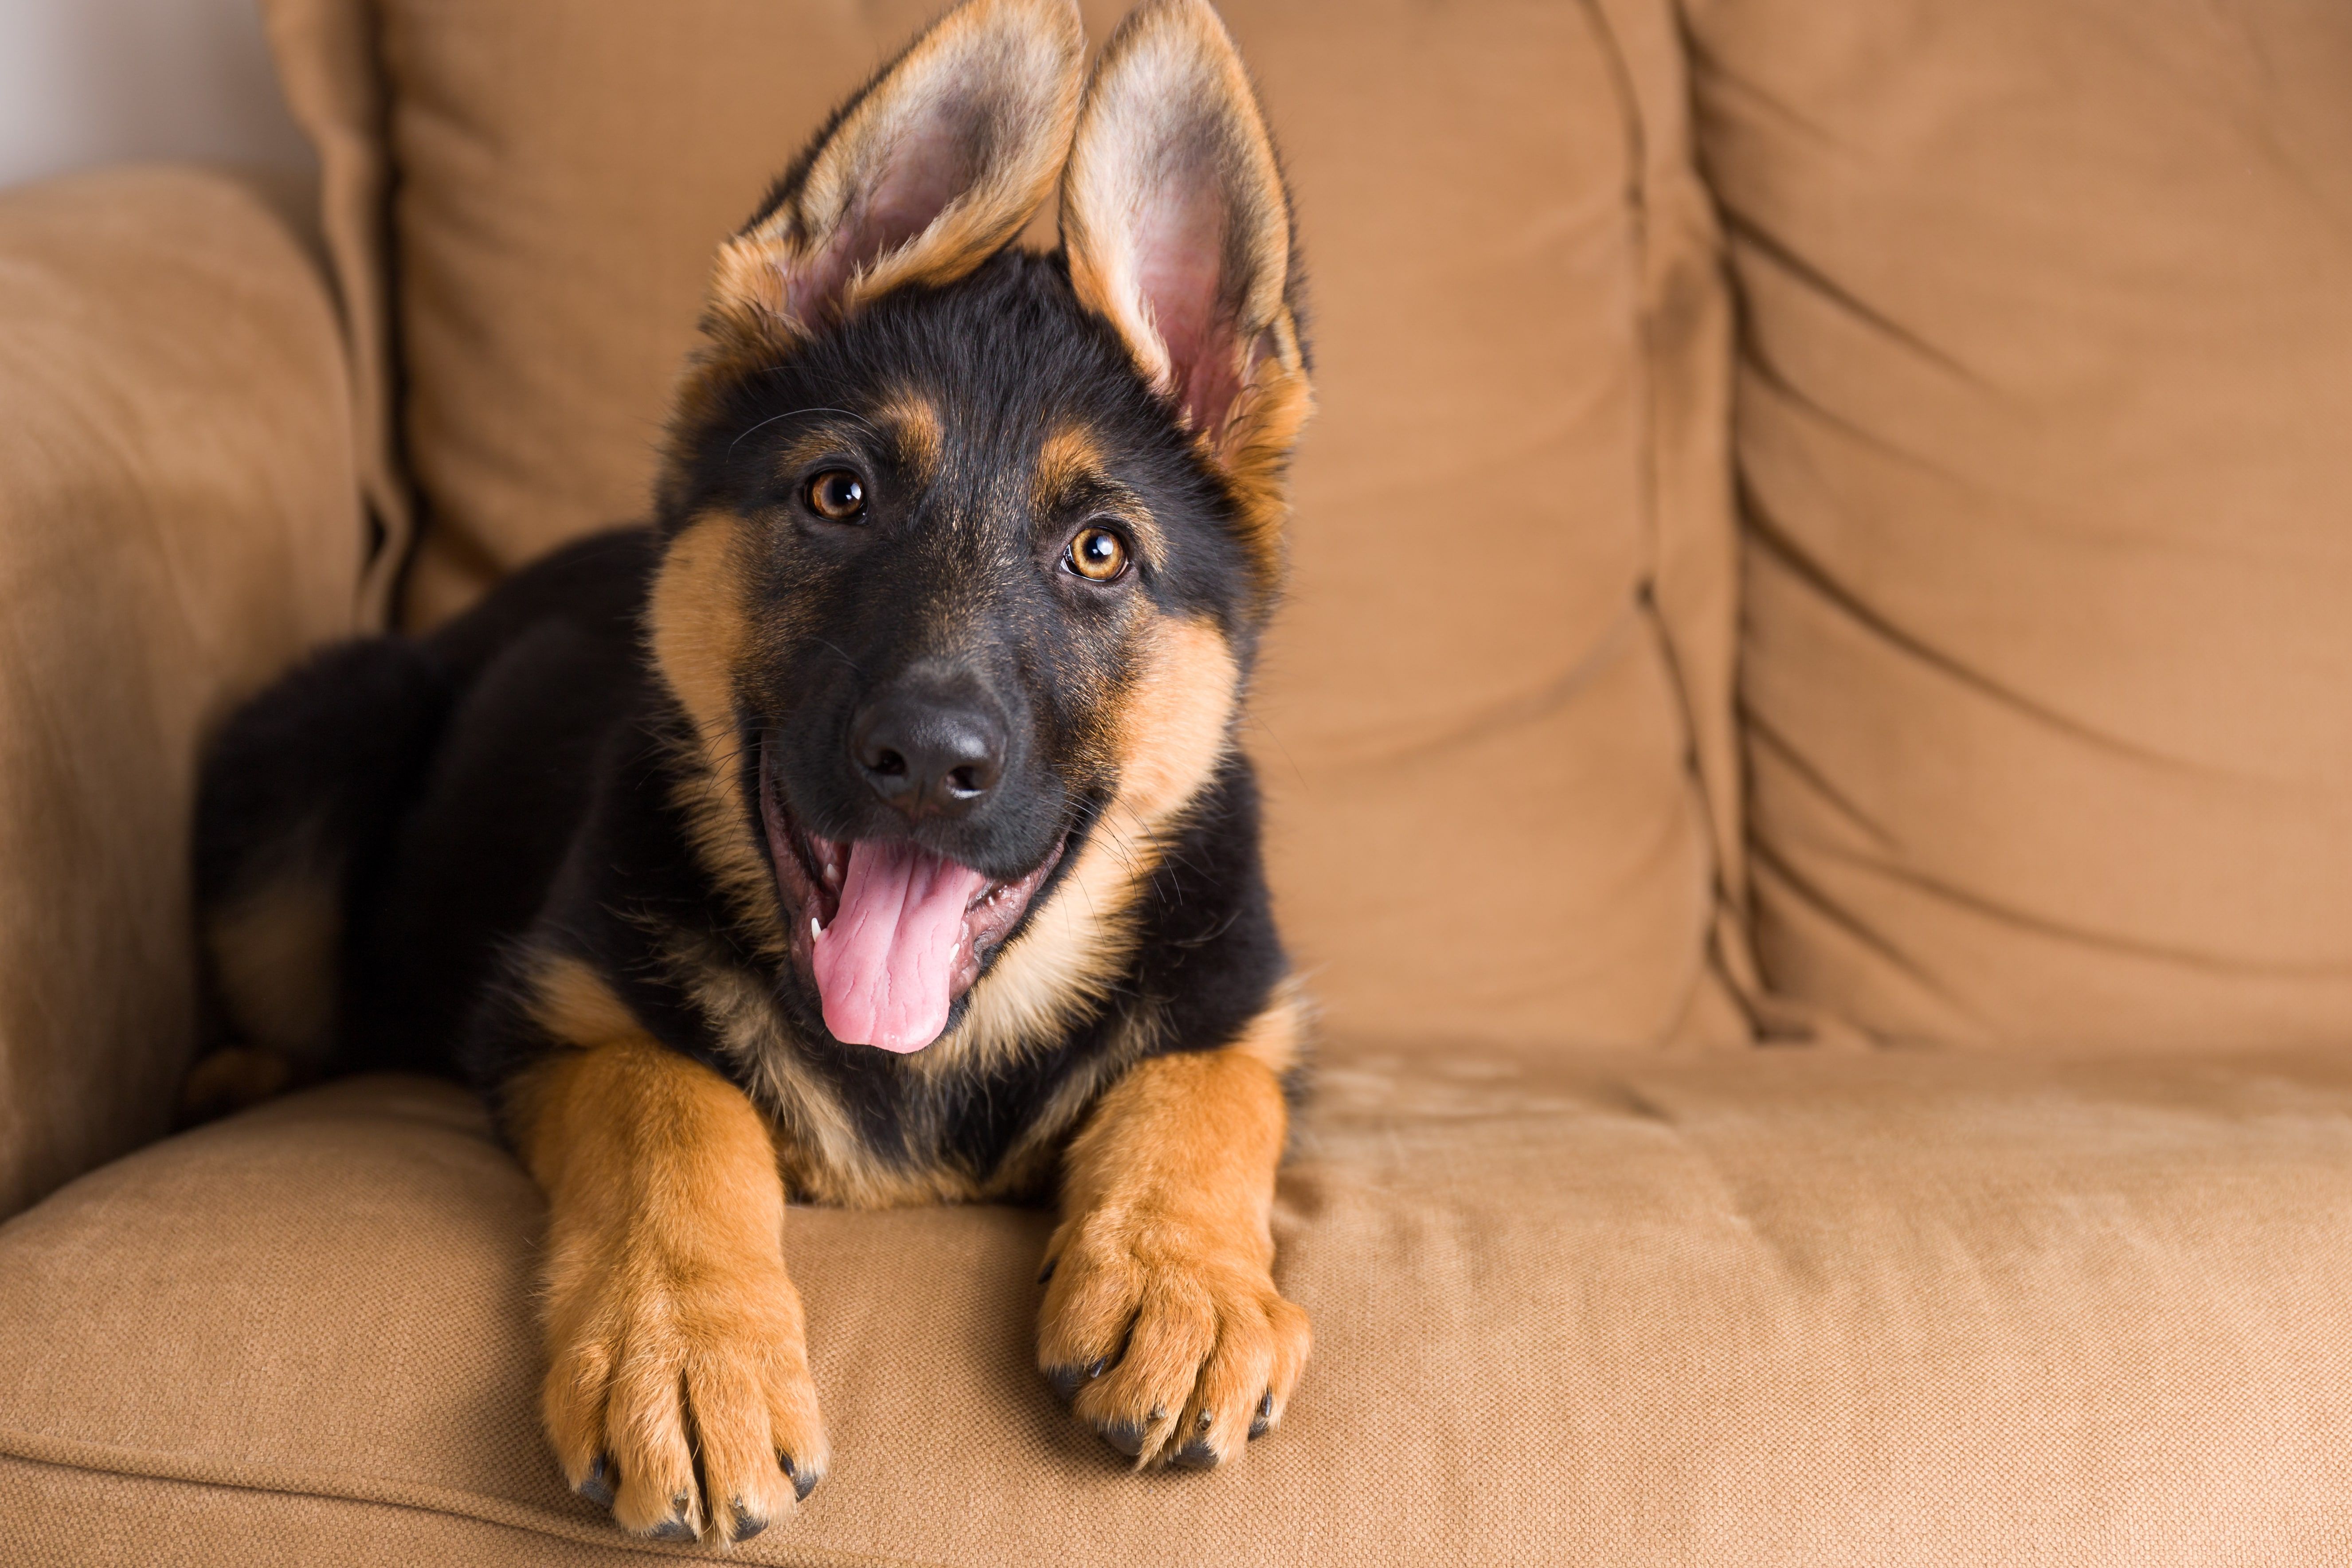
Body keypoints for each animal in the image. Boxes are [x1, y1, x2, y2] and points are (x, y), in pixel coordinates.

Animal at [179, 0, 1327, 1542]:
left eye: (1101, 552)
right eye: (839, 495)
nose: (927, 763)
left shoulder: (1243, 1005)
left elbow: (1204, 1090)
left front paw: (1180, 1284)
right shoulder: (568, 1015)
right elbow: (680, 1110)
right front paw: (684, 1358)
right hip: (324, 734)